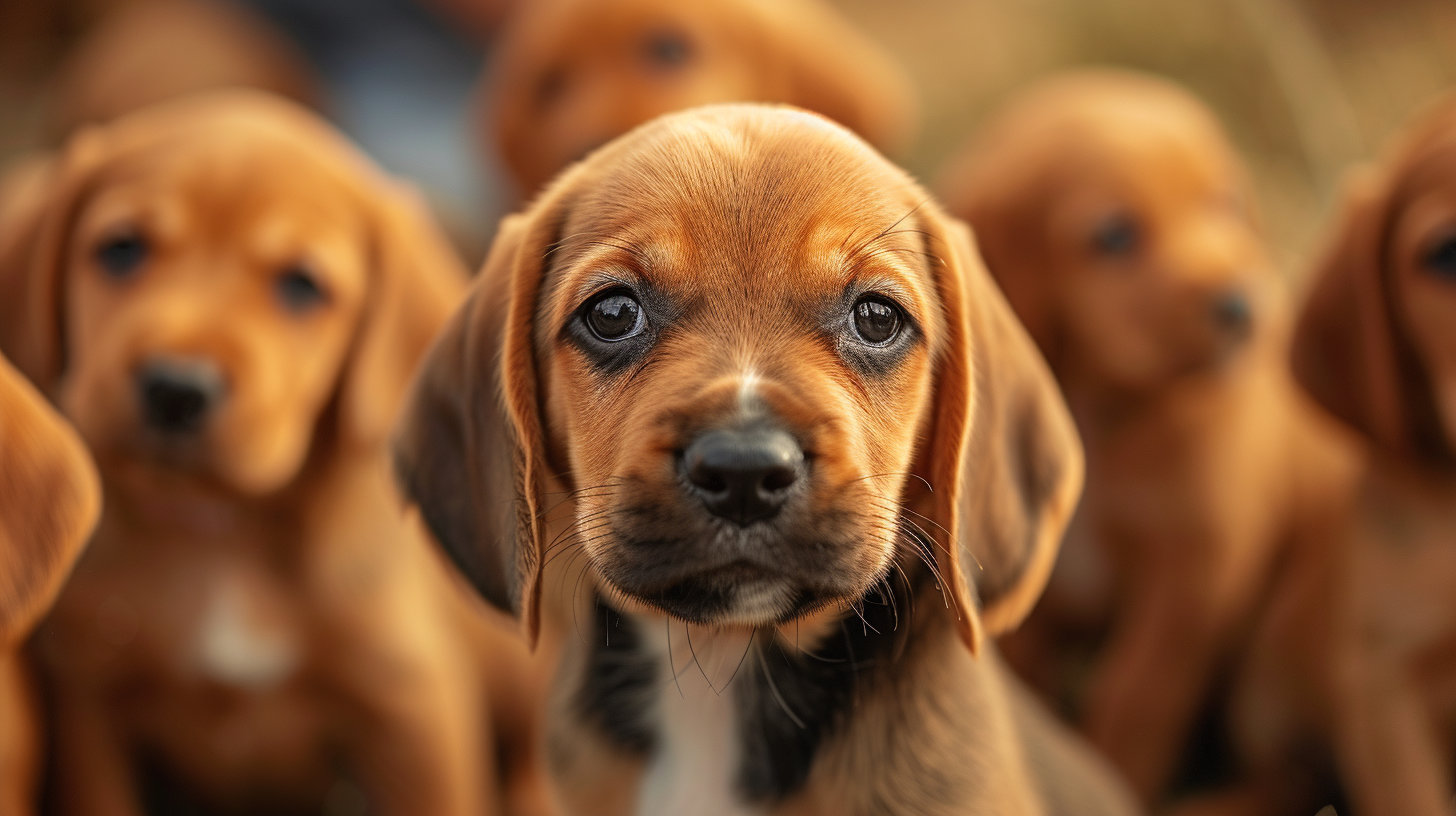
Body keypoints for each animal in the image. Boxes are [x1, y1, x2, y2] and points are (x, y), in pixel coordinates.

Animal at [0, 90, 547, 816]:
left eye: (300, 286)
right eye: (120, 250)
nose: (176, 388)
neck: (222, 536)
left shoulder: (411, 711)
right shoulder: (93, 710)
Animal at [937, 68, 1356, 804]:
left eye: (1224, 203)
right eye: (1113, 236)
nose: (1242, 304)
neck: (1101, 415)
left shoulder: (1193, 578)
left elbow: (1134, 699)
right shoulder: (1031, 599)